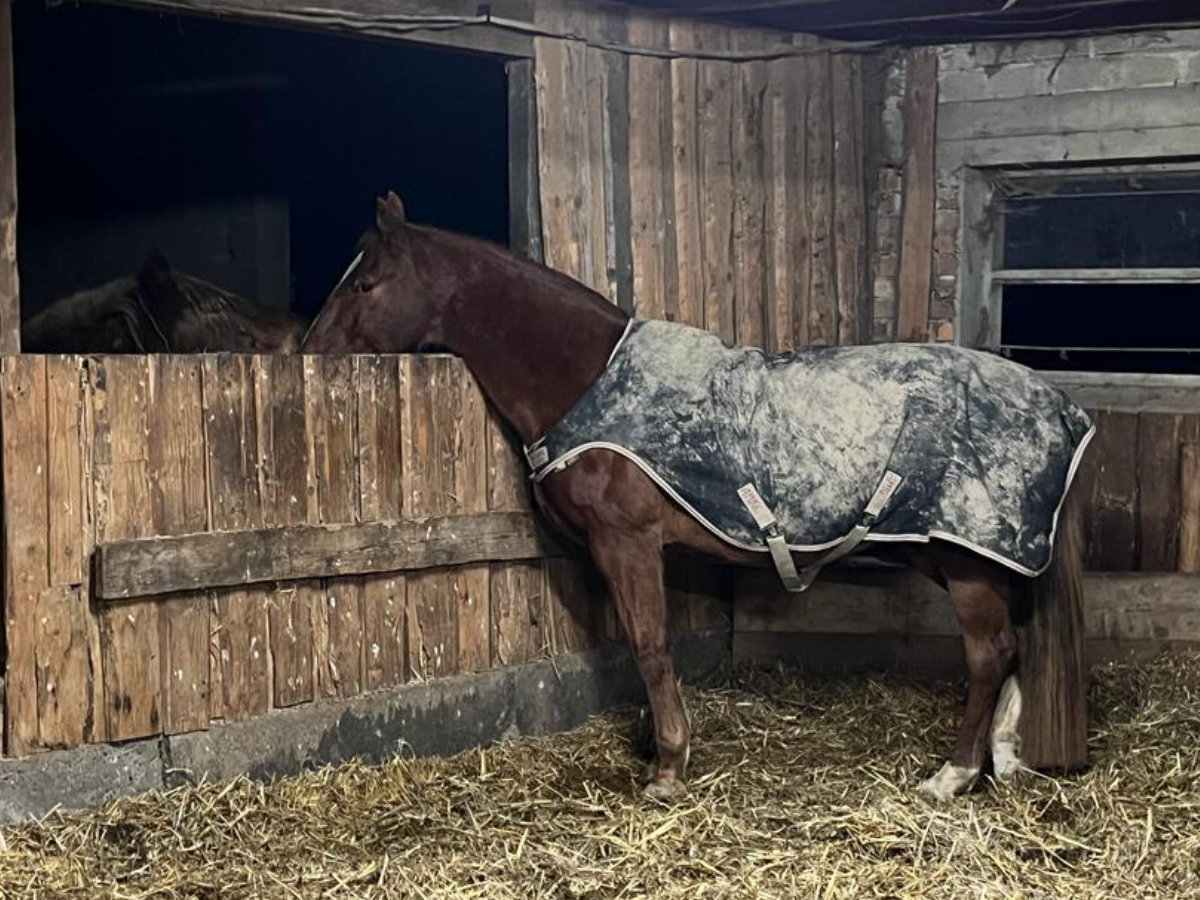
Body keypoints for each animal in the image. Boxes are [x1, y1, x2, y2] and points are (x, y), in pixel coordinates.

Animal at [302, 192, 1089, 802]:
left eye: (366, 284)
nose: (307, 351)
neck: (587, 378)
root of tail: (1060, 407)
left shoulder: (628, 543)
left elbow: (650, 646)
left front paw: (668, 767)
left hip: (968, 562)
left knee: (991, 653)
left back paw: (952, 775)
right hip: (971, 556)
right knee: (1018, 647)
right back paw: (1005, 756)